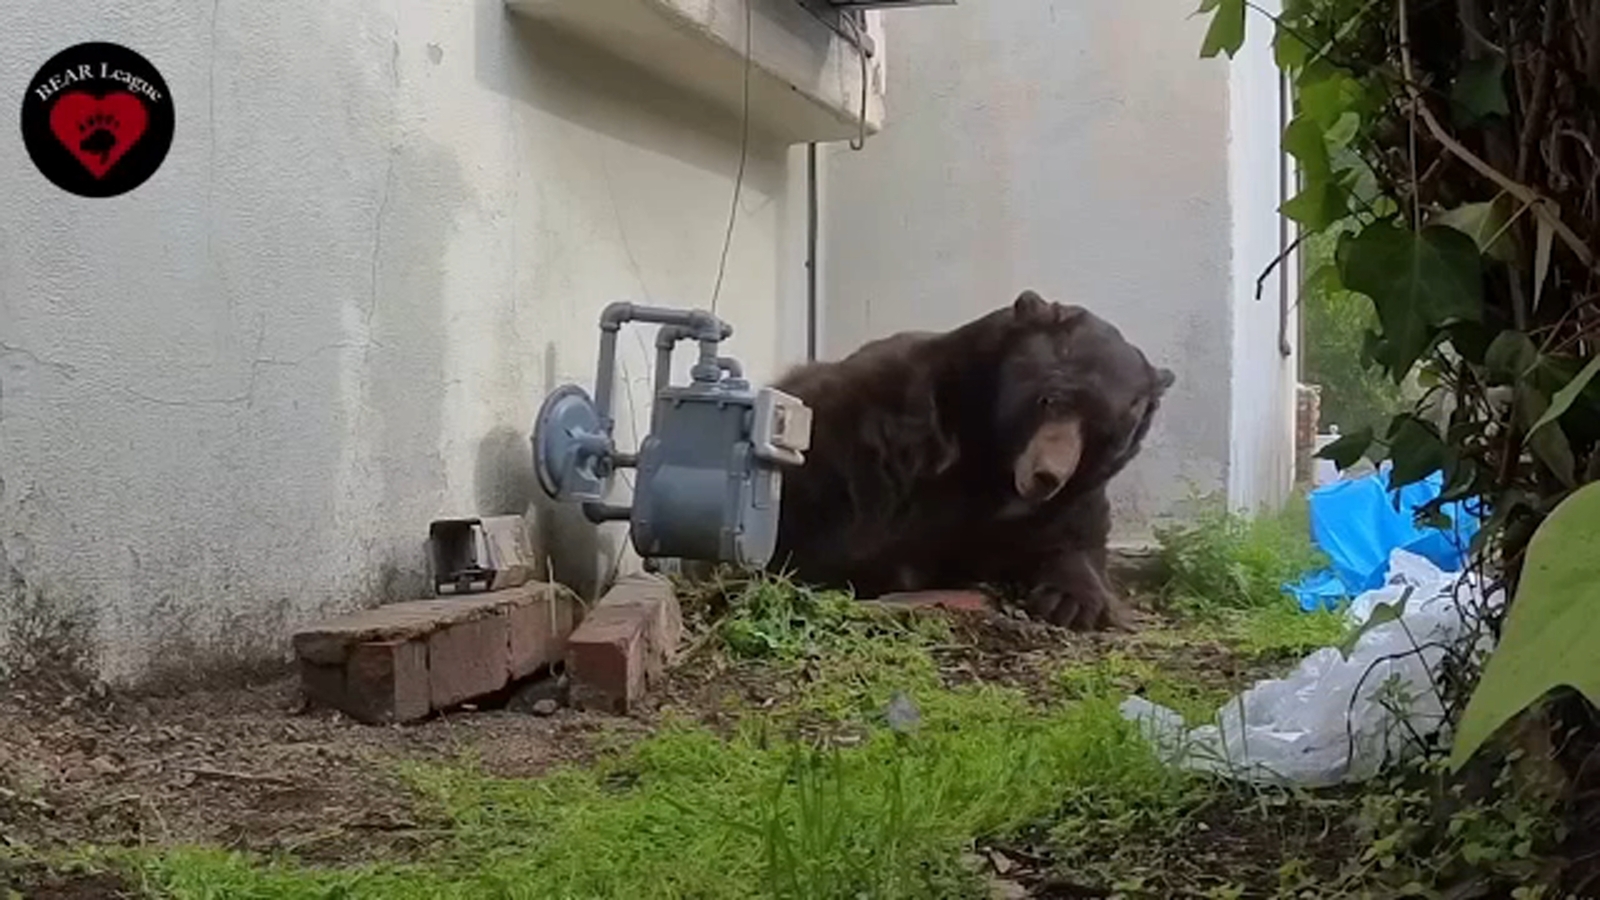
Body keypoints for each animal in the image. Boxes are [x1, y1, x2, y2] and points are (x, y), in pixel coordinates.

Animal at [767, 289, 1175, 631]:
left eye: (1102, 431)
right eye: (1051, 399)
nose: (1046, 475)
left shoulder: (1061, 502)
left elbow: (1073, 542)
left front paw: (1070, 602)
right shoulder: (890, 424)